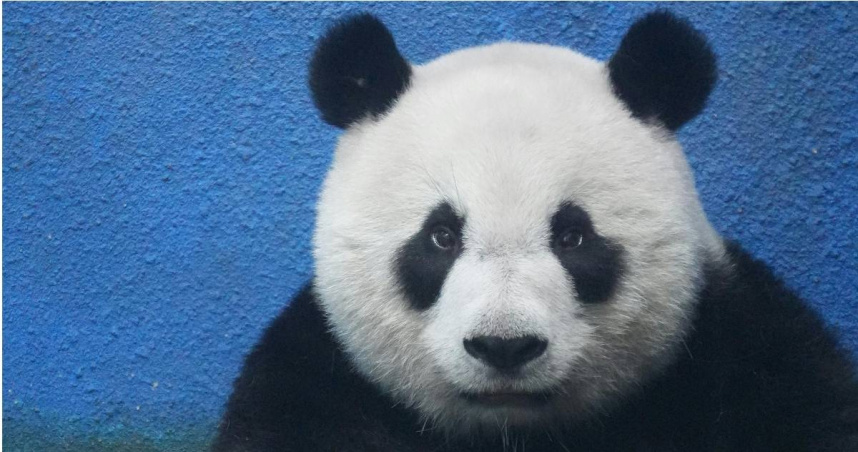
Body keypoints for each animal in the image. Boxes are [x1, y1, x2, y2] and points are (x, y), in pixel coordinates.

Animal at [214, 11, 858, 452]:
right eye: (441, 236)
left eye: (573, 237)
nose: (504, 346)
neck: (514, 434)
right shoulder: (321, 382)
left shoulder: (735, 350)